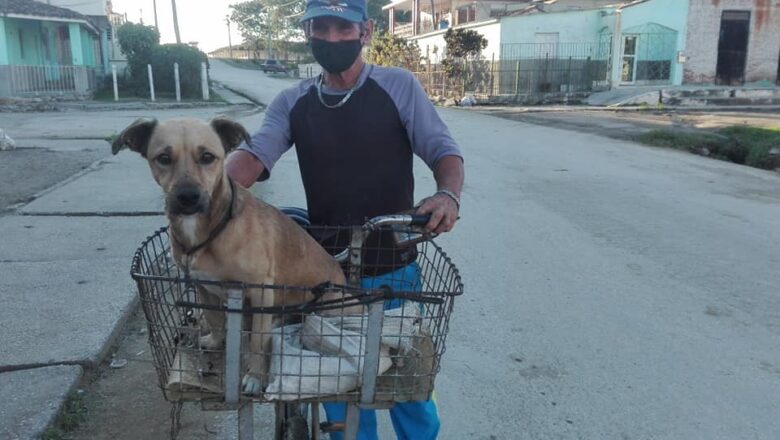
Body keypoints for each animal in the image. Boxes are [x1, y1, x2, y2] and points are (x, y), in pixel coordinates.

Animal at [112, 117, 356, 396]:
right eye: (163, 158)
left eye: (208, 157)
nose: (188, 198)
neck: (212, 230)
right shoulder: (203, 286)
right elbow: (215, 319)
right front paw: (216, 341)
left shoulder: (261, 291)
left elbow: (258, 342)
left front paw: (255, 377)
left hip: (327, 311)